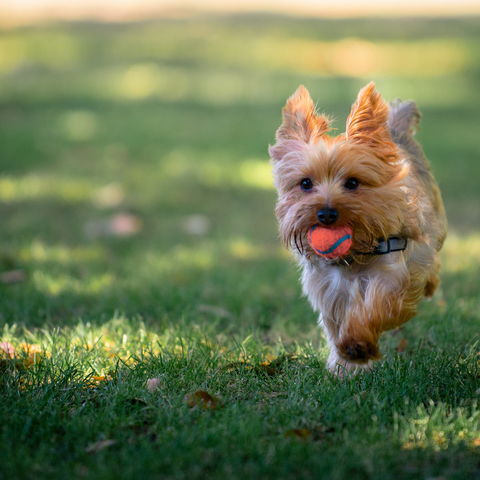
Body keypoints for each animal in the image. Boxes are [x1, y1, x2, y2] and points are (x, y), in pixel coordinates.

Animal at [270, 84, 446, 374]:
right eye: (305, 183)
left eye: (352, 183)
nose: (326, 214)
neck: (354, 254)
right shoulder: (329, 289)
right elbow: (335, 323)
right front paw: (344, 365)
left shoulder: (394, 273)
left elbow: (376, 306)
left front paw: (357, 343)